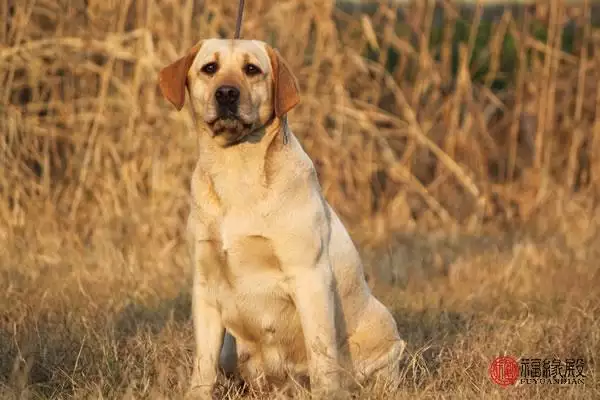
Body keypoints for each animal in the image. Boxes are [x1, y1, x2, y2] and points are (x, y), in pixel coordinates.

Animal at [157, 38, 406, 400]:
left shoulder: (310, 277)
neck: (237, 170)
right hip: (232, 349)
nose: (227, 93)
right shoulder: (205, 286)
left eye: (251, 69)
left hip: (384, 328)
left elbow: (321, 356)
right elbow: (203, 364)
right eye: (209, 68)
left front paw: (327, 392)